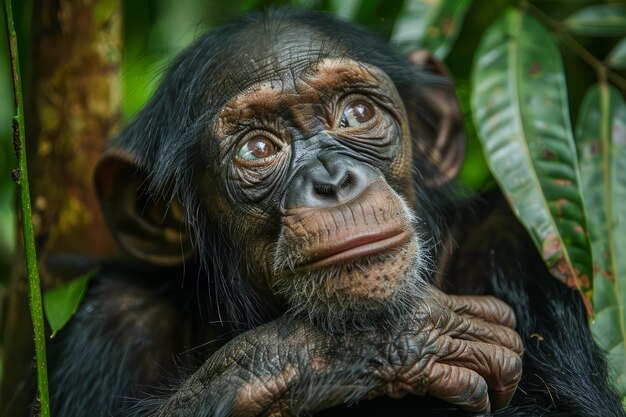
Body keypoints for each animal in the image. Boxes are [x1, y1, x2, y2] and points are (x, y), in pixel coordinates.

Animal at [46, 7, 620, 416]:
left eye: (357, 113)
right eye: (258, 148)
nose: (332, 180)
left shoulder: (517, 247)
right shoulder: (113, 320)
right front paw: (371, 346)